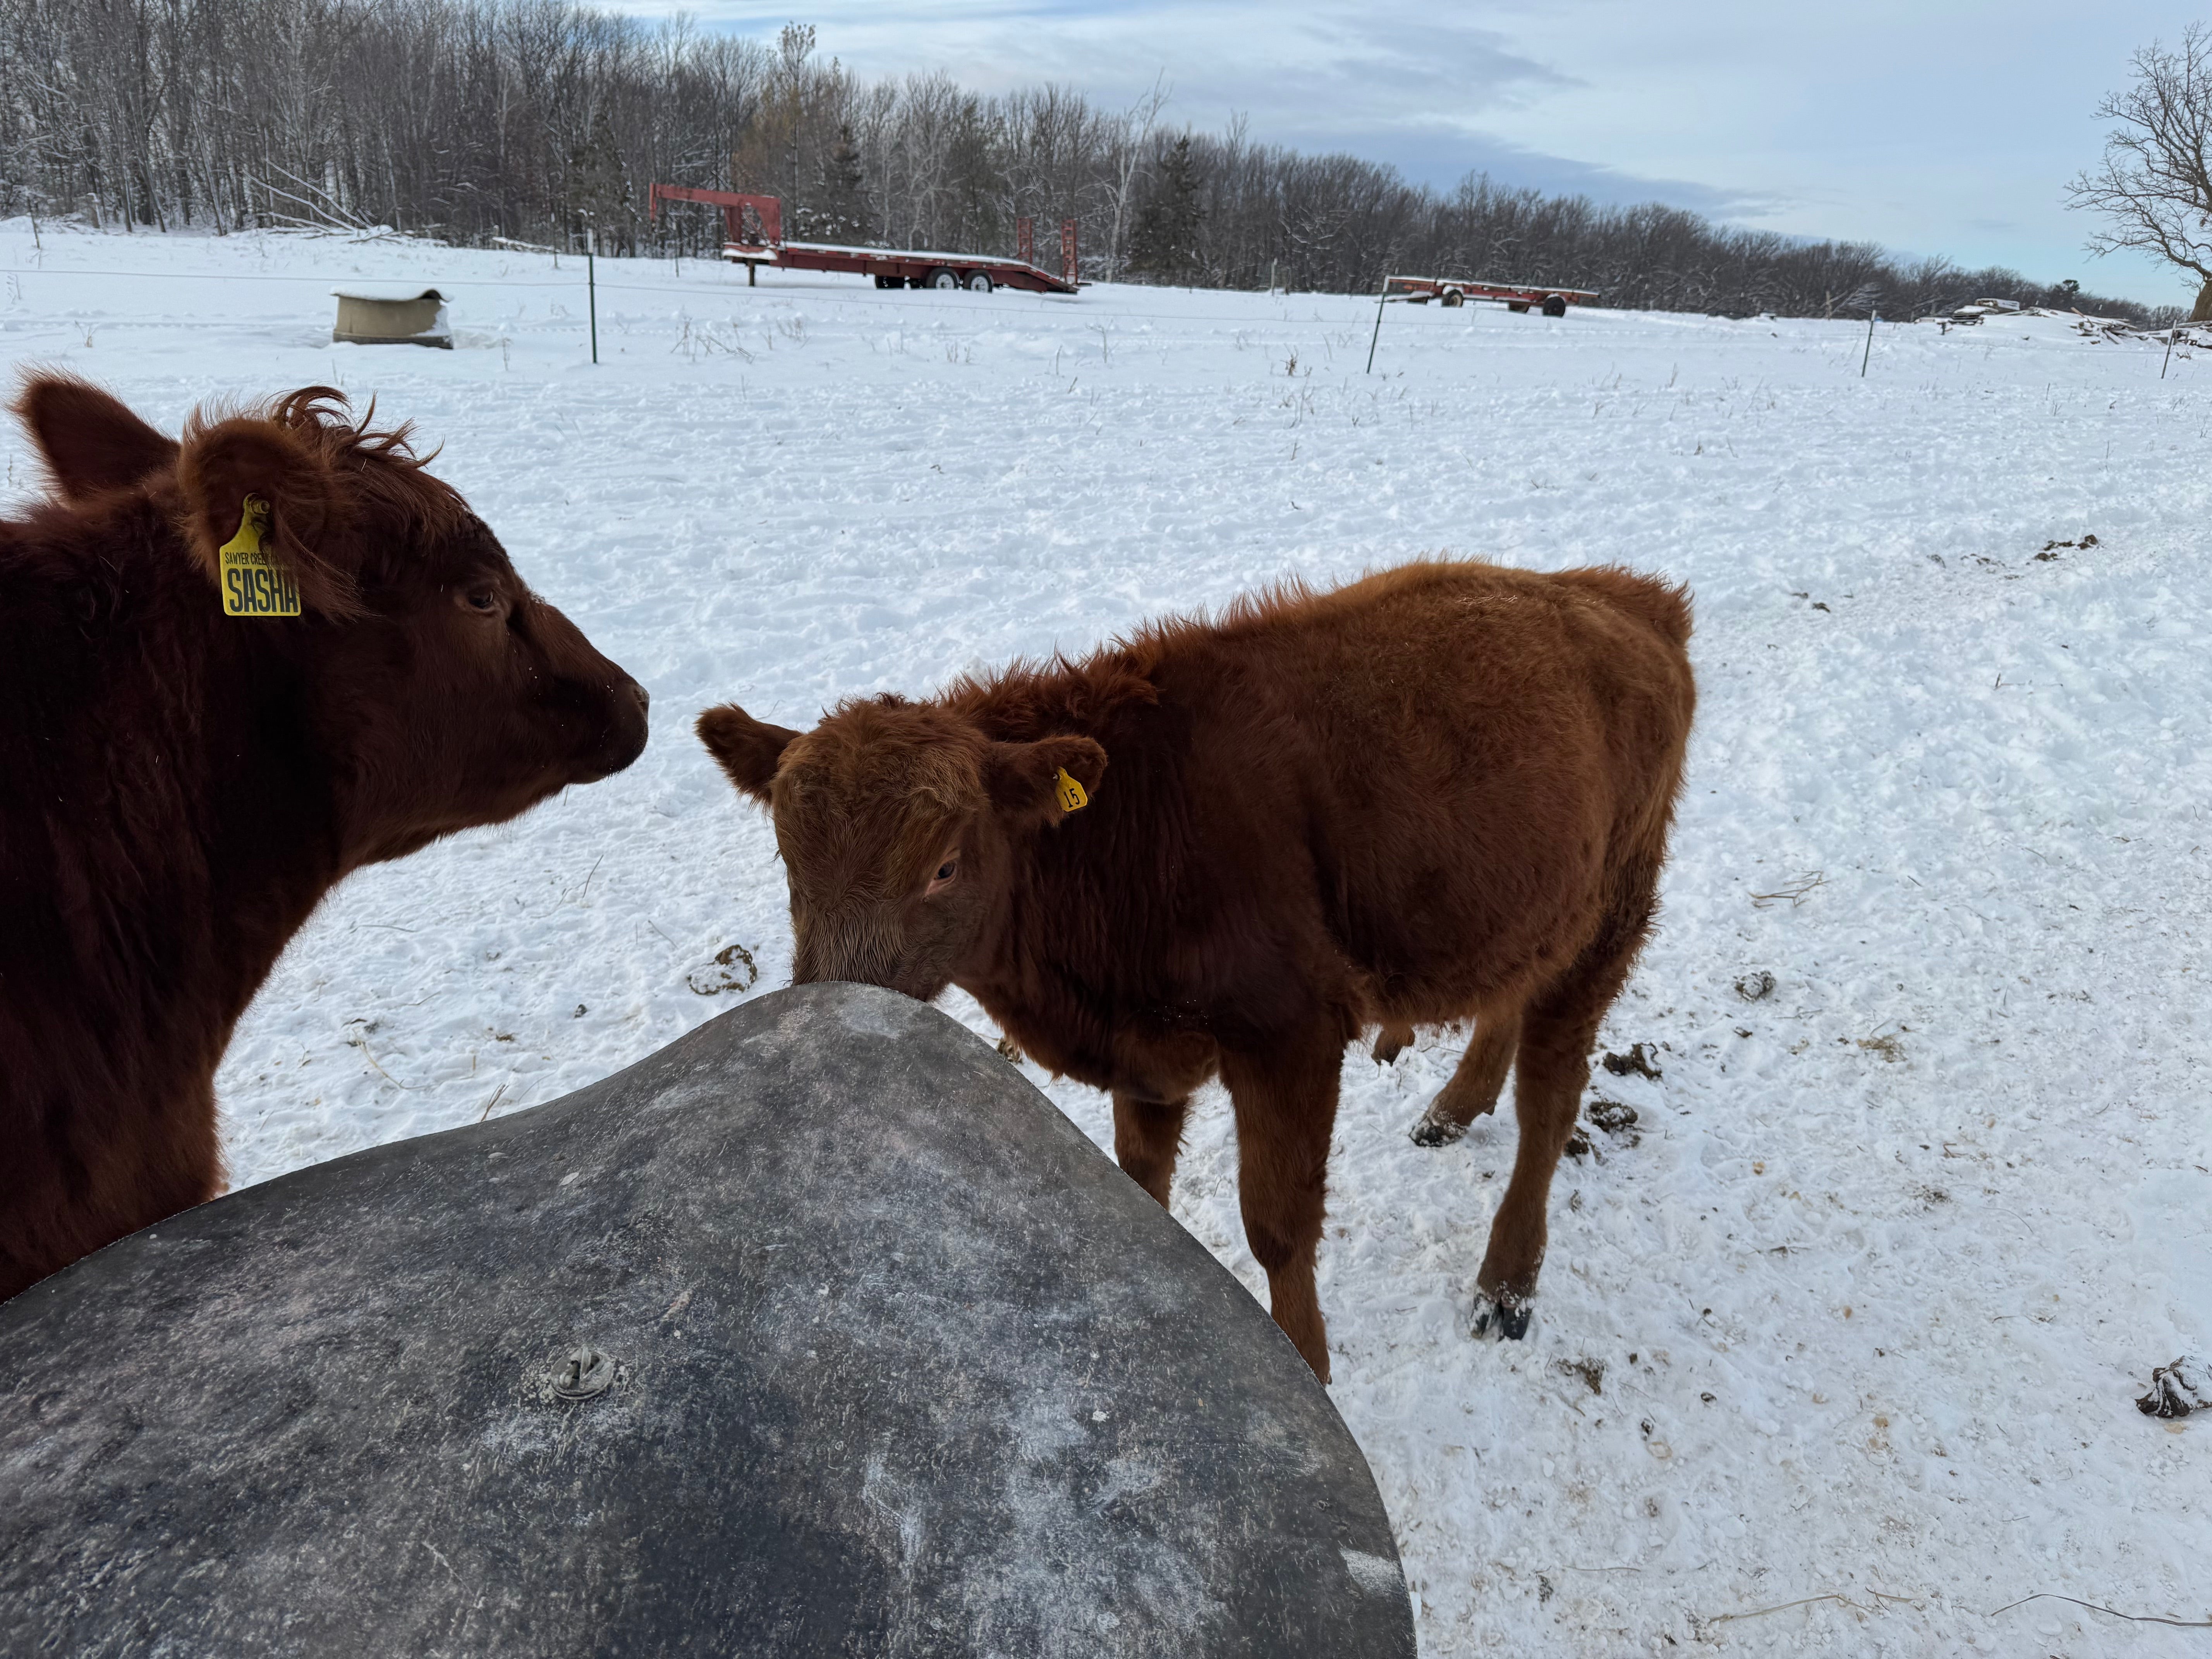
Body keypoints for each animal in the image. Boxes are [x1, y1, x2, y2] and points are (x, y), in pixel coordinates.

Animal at [696, 560, 1694, 1381]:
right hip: (1536, 908)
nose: (830, 1013)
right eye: (788, 859)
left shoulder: (1290, 1035)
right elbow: (1143, 1185)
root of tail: (1626, 597)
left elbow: (1277, 1225)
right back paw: (1453, 1109)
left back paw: (1506, 1285)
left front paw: (1308, 1370)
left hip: (1612, 918)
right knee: (1510, 1006)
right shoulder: (1145, 1057)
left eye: (943, 867)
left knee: (1551, 1098)